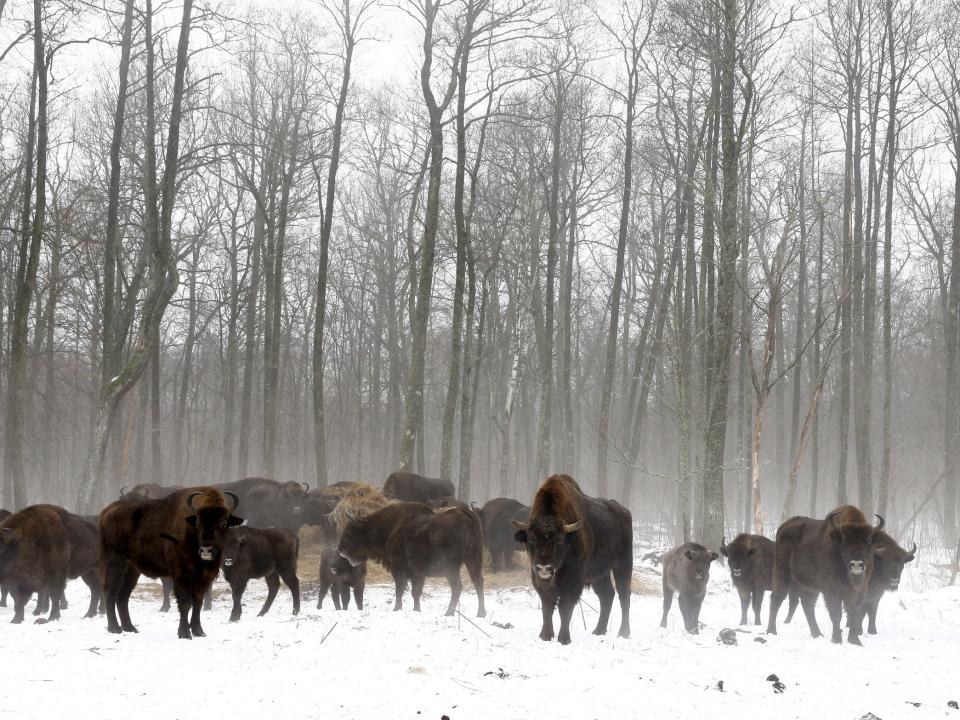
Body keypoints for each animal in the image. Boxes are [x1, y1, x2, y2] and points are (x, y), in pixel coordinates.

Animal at [340, 500, 488, 620]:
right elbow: (415, 592)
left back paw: (449, 612)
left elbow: (400, 589)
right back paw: (481, 613)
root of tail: (465, 514)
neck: (390, 527)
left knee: (457, 586)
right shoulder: (418, 573)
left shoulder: (398, 568)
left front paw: (396, 609)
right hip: (473, 560)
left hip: (451, 567)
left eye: (348, 532)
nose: (340, 550)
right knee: (478, 582)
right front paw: (417, 610)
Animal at [512, 476, 632, 644]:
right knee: (607, 595)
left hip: (623, 564)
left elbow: (565, 608)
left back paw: (624, 633)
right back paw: (598, 631)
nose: (544, 568)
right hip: (599, 575)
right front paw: (545, 636)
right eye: (530, 541)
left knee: (624, 594)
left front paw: (564, 639)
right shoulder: (539, 581)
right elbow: (547, 607)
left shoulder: (573, 582)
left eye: (559, 541)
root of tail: (624, 512)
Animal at [768, 504, 880, 644]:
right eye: (845, 540)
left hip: (809, 586)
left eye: (868, 541)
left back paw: (817, 633)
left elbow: (853, 612)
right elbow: (836, 614)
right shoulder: (831, 591)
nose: (856, 565)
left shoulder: (859, 591)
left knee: (807, 605)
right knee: (776, 598)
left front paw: (855, 641)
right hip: (782, 573)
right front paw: (836, 639)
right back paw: (771, 631)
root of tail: (783, 526)